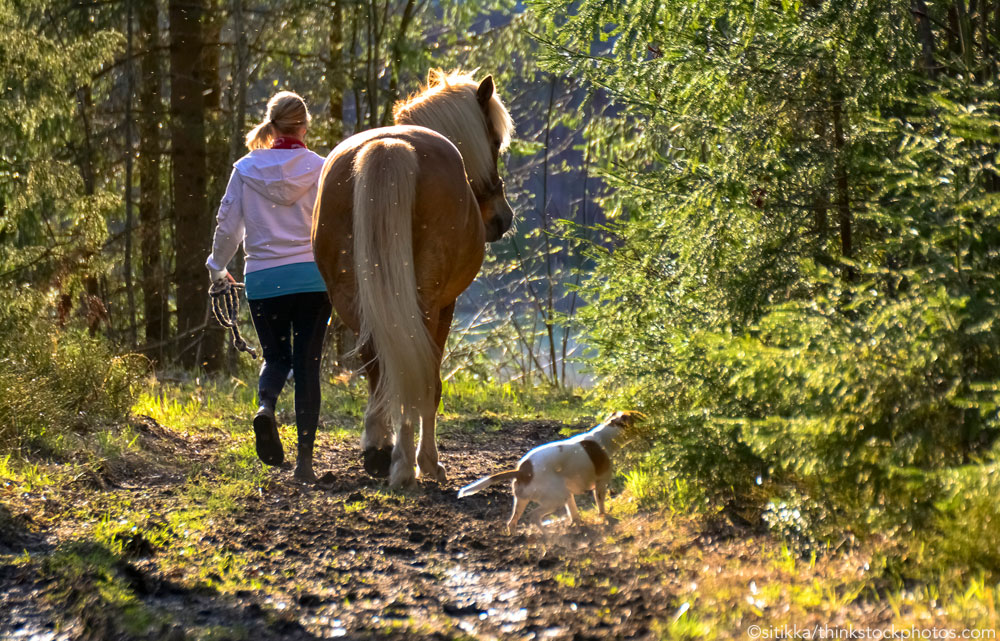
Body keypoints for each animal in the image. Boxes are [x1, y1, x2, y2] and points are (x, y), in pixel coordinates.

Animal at [312, 70, 516, 488]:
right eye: (494, 141)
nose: (502, 218)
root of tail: (390, 147)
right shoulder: (446, 305)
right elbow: (431, 384)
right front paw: (429, 462)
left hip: (353, 299)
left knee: (380, 366)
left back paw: (379, 452)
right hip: (423, 301)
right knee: (414, 374)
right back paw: (409, 464)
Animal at [460, 412, 640, 532]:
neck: (604, 438)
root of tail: (522, 471)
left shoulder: (570, 496)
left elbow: (574, 513)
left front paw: (578, 524)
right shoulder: (600, 484)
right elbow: (601, 506)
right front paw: (603, 518)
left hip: (526, 500)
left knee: (512, 522)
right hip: (554, 500)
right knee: (533, 516)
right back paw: (546, 535)